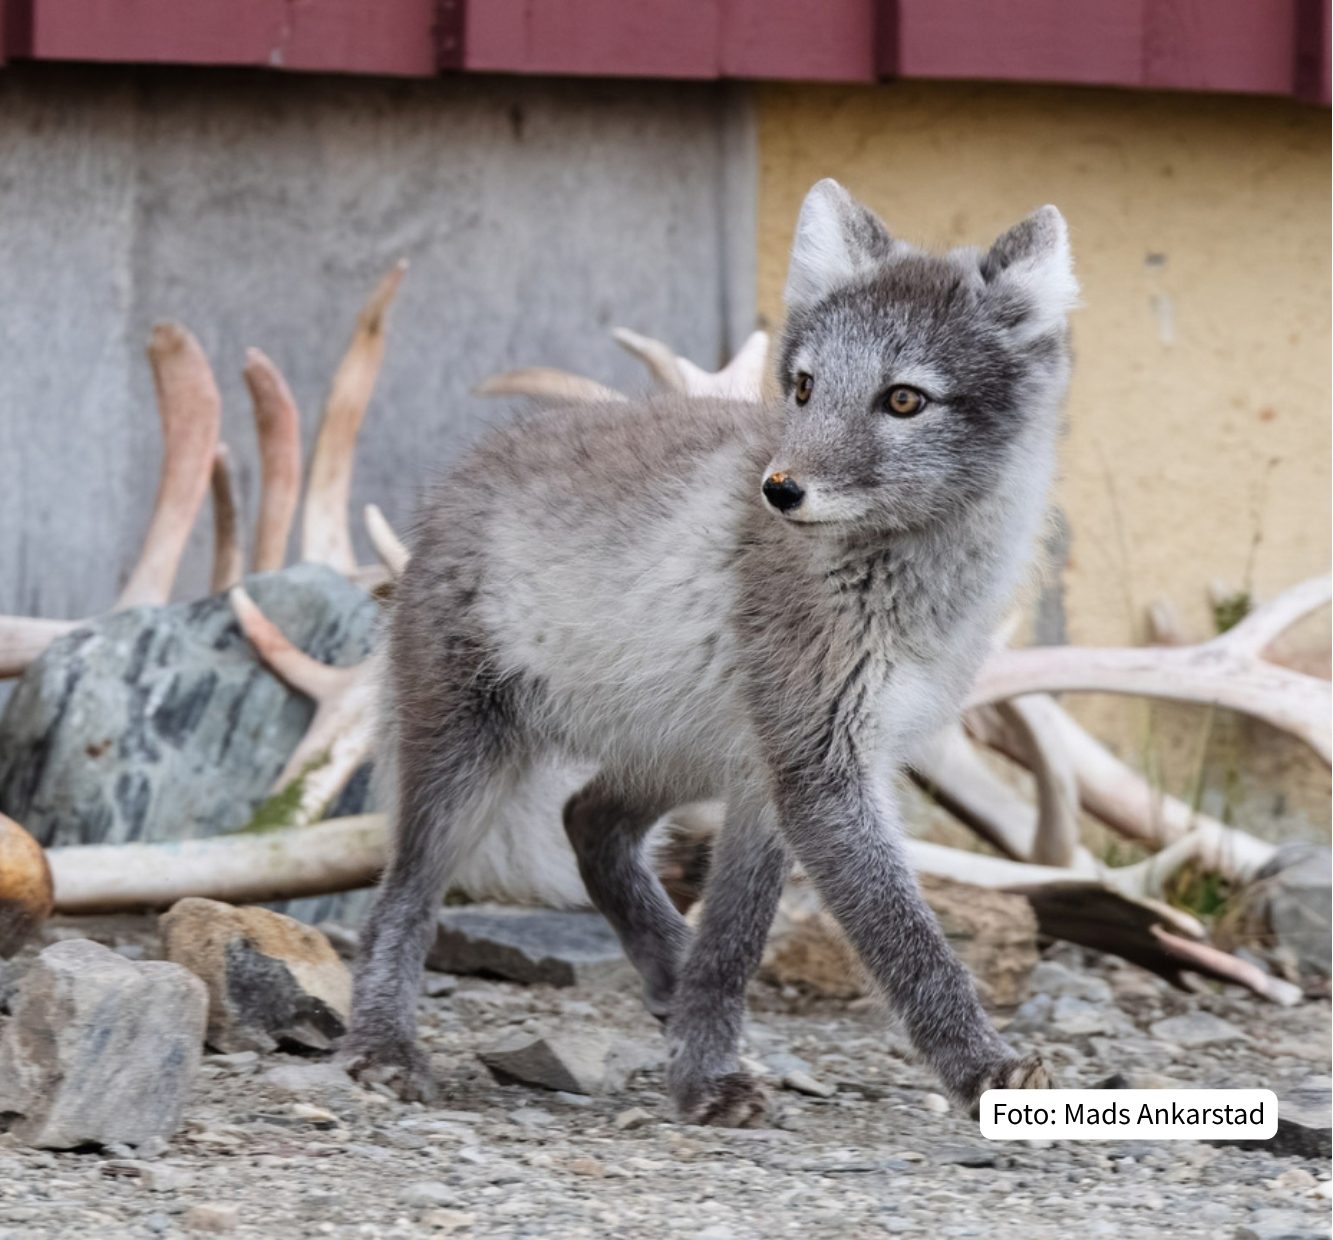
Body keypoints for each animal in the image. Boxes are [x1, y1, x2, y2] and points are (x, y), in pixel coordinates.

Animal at [339, 179, 1077, 1124]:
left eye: (904, 399)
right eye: (803, 387)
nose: (779, 490)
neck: (900, 592)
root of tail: (460, 474)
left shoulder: (786, 778)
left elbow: (733, 940)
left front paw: (700, 1060)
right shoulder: (818, 774)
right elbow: (905, 942)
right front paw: (983, 1068)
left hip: (691, 757)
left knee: (588, 821)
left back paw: (666, 974)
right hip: (466, 769)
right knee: (398, 903)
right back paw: (383, 1048)